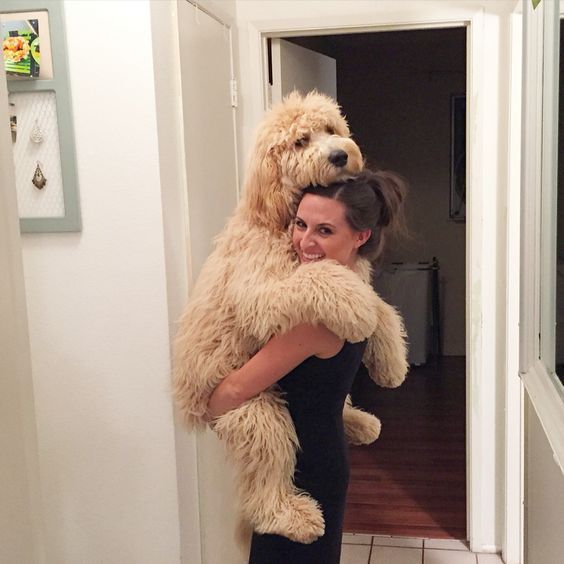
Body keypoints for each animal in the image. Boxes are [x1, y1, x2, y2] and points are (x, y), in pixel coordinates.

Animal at [174, 91, 408, 540]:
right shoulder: (261, 293)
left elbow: (379, 303)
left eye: (331, 129)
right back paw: (291, 515)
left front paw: (392, 360)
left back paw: (356, 420)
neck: (281, 219)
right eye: (301, 141)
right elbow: (321, 281)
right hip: (253, 409)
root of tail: (188, 407)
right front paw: (357, 311)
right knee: (266, 472)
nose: (340, 155)